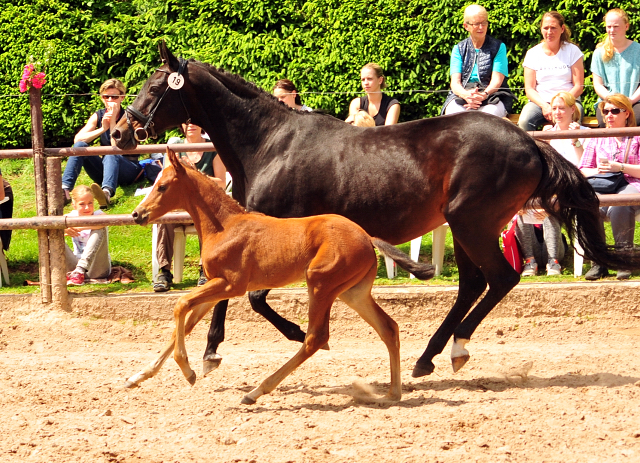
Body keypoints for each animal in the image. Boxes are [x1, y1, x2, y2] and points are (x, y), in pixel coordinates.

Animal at [126, 147, 436, 404]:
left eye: (163, 186)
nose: (137, 214)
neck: (225, 226)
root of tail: (366, 236)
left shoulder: (231, 285)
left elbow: (180, 306)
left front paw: (187, 371)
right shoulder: (216, 286)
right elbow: (186, 322)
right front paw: (138, 376)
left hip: (320, 284)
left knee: (315, 338)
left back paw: (255, 392)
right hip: (353, 292)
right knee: (388, 328)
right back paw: (392, 393)